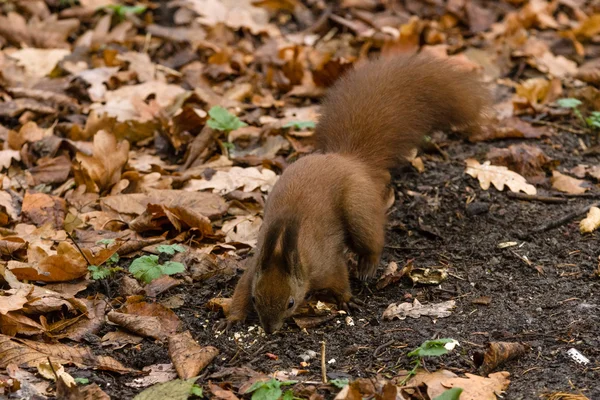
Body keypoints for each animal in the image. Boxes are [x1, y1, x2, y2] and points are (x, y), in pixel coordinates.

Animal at [218, 53, 490, 334]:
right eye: (255, 299)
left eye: (290, 303)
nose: (270, 329)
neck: (287, 248)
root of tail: (350, 160)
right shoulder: (254, 269)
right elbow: (240, 289)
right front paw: (233, 318)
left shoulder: (326, 262)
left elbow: (339, 278)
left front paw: (346, 299)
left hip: (358, 207)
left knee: (371, 240)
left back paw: (367, 266)